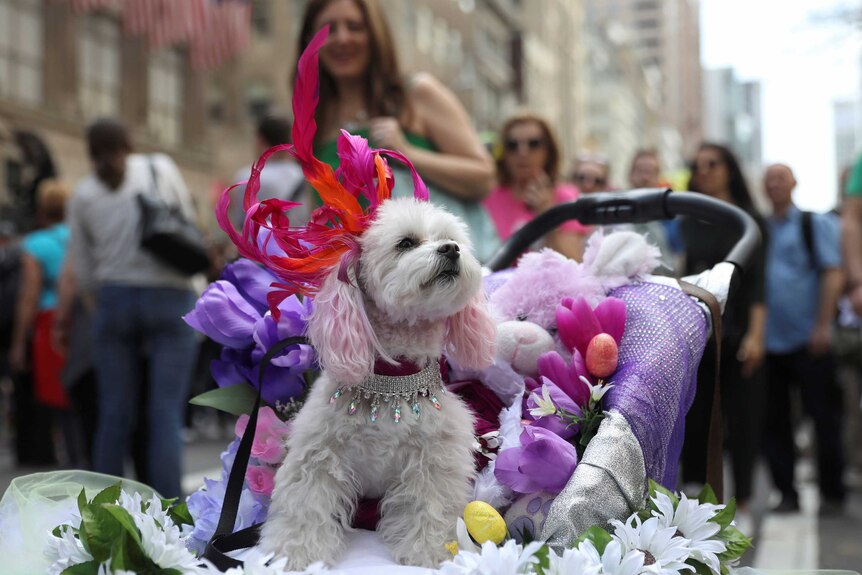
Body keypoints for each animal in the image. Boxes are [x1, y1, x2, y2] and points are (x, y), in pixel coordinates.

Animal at [260, 199, 496, 572]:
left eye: (450, 239)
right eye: (406, 243)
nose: (451, 249)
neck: (392, 381)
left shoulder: (433, 460)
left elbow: (428, 506)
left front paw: (429, 550)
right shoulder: (318, 454)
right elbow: (306, 504)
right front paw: (296, 553)